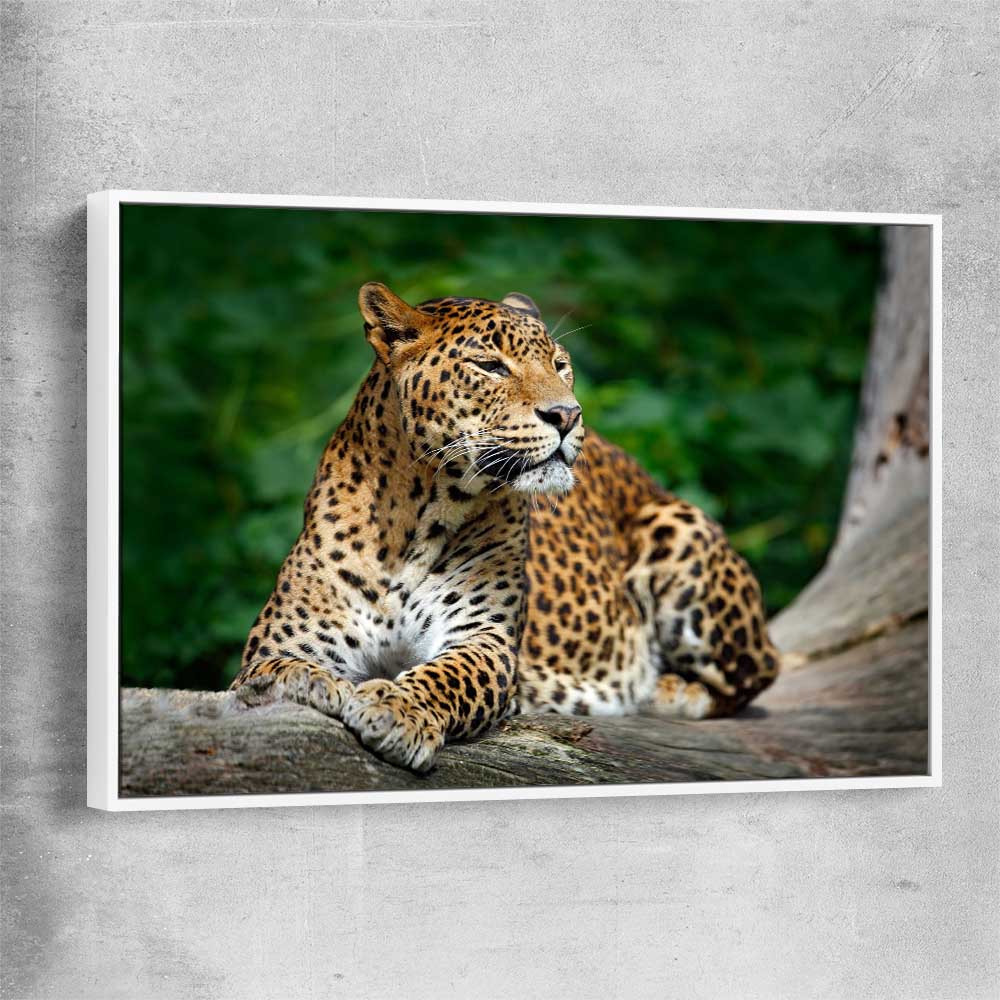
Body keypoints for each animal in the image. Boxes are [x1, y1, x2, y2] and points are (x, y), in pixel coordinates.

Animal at [231, 282, 780, 772]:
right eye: (490, 366)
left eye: (560, 365)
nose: (567, 414)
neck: (415, 518)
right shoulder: (284, 638)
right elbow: (272, 668)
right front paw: (307, 682)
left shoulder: (484, 639)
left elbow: (447, 676)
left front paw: (397, 710)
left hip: (679, 528)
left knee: (757, 672)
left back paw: (667, 689)